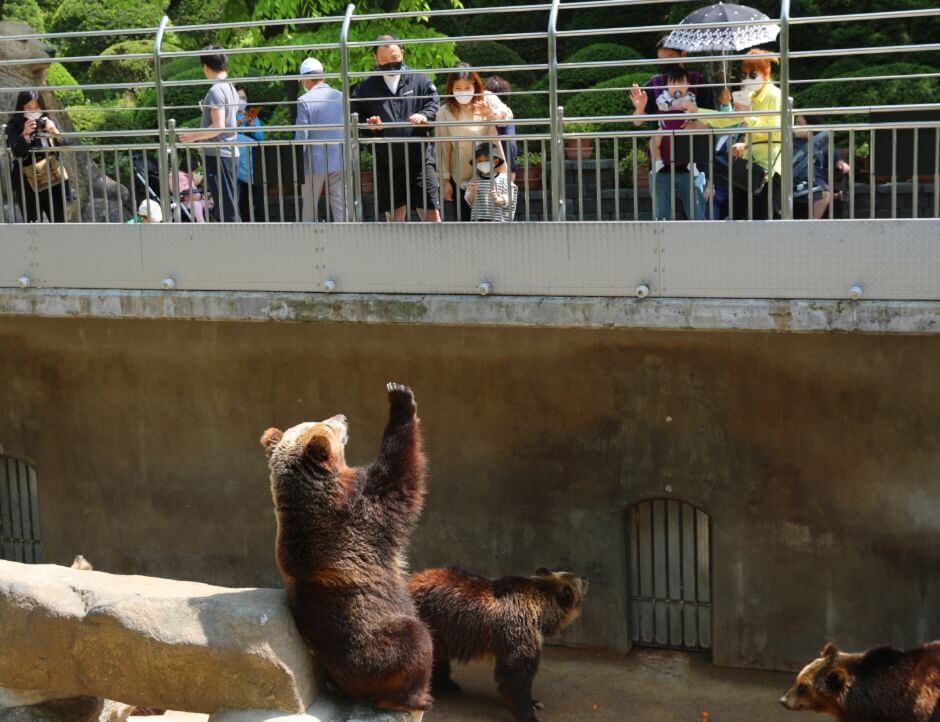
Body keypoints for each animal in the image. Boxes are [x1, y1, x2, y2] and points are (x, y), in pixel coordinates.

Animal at [262, 382, 436, 716]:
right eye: (328, 425)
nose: (342, 415)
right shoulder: (366, 510)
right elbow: (402, 474)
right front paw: (400, 399)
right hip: (376, 648)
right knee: (416, 639)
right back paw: (416, 696)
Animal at [410, 564, 588, 716]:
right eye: (578, 580)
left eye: (573, 574)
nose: (587, 578)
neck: (541, 614)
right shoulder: (520, 629)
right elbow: (516, 673)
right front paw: (527, 710)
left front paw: (535, 702)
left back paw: (449, 685)